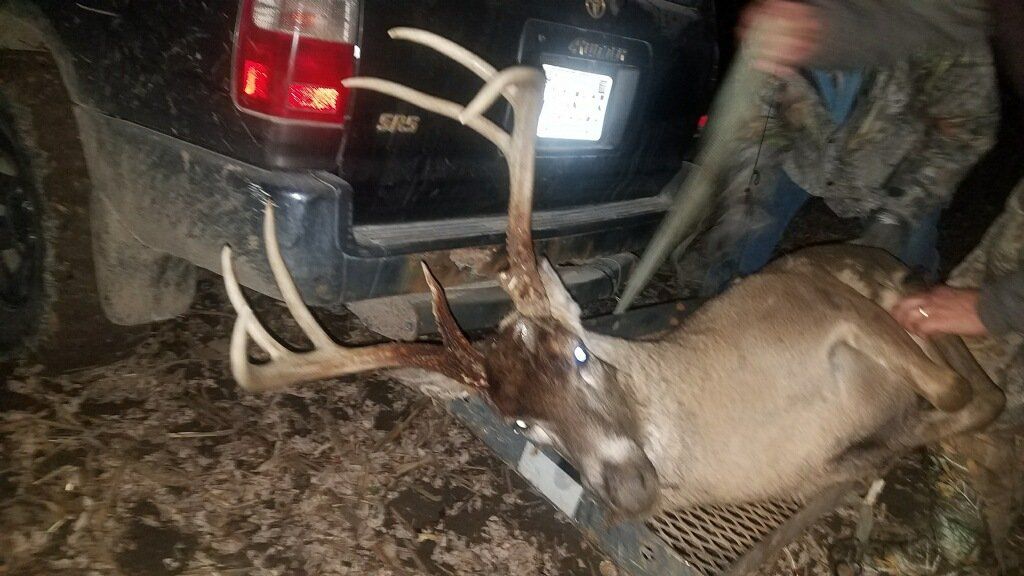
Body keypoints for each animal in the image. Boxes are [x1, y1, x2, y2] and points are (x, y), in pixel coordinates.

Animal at [219, 28, 1006, 520]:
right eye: (524, 424)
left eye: (580, 352)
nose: (627, 489)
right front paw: (878, 456)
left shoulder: (829, 301)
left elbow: (968, 394)